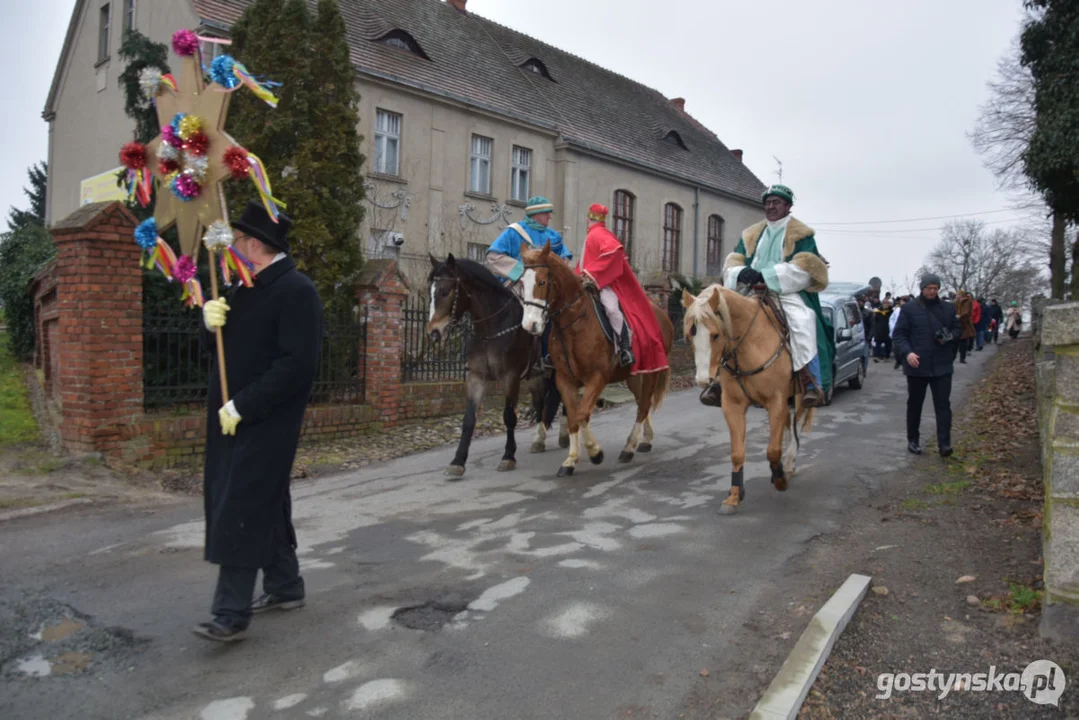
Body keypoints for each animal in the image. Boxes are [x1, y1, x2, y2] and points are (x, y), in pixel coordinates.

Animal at [425, 253, 569, 479]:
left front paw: (508, 456)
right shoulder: (476, 377)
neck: (491, 329)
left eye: (445, 291)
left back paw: (564, 435)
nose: (433, 332)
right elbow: (469, 419)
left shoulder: (511, 377)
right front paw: (458, 461)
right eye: (429, 292)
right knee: (541, 403)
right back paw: (539, 439)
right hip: (536, 377)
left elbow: (509, 416)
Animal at [515, 243, 673, 479]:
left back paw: (629, 448)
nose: (530, 325)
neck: (574, 322)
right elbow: (576, 415)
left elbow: (581, 413)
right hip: (634, 376)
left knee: (644, 405)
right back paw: (644, 440)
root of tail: (661, 313)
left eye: (542, 282)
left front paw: (594, 452)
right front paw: (571, 460)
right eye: (522, 283)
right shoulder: (564, 379)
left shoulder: (597, 377)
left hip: (651, 372)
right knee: (640, 404)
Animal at [681, 284, 815, 515]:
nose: (702, 380)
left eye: (715, 335)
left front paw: (779, 479)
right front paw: (734, 496)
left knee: (795, 424)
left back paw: (788, 463)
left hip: (797, 397)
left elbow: (773, 450)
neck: (751, 344)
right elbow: (737, 453)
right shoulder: (733, 406)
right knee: (788, 425)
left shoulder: (776, 401)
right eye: (690, 336)